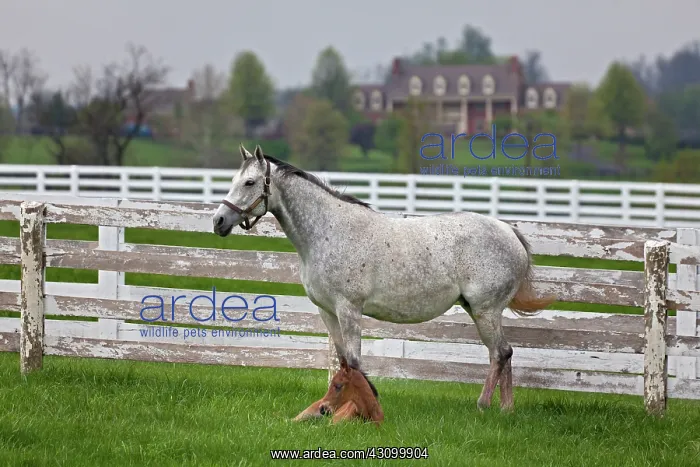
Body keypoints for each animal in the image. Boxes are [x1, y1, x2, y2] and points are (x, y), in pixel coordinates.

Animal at [212, 144, 556, 412]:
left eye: (250, 182)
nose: (218, 221)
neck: (327, 231)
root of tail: (508, 230)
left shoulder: (349, 309)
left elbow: (354, 361)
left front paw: (357, 406)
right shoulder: (327, 311)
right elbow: (342, 361)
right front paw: (331, 405)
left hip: (486, 310)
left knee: (500, 353)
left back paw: (484, 406)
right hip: (479, 309)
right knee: (504, 353)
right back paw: (506, 408)